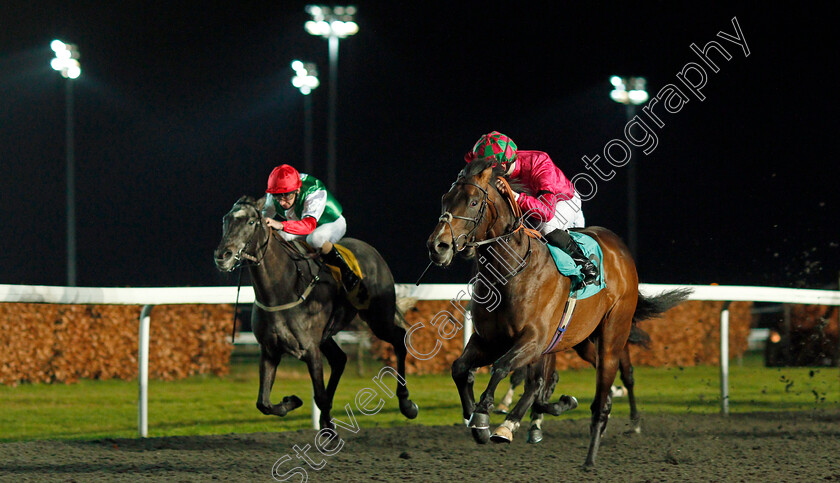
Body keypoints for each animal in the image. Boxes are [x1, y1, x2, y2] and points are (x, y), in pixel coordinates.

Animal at [213, 195, 416, 430]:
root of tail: (372, 252)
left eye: (251, 222)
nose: (222, 256)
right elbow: (263, 403)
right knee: (340, 359)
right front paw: (292, 401)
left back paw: (406, 403)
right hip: (328, 335)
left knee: (399, 339)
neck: (282, 289)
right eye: (225, 220)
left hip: (378, 317)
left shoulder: (310, 349)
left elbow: (319, 397)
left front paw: (329, 430)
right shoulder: (270, 350)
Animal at [426, 161, 688, 466]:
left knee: (619, 375)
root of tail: (620, 248)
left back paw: (618, 429)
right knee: (555, 384)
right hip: (581, 339)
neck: (508, 274)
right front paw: (475, 419)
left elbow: (502, 367)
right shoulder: (489, 340)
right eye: (445, 199)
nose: (438, 245)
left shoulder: (534, 340)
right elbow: (461, 368)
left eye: (473, 202)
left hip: (613, 332)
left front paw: (483, 415)